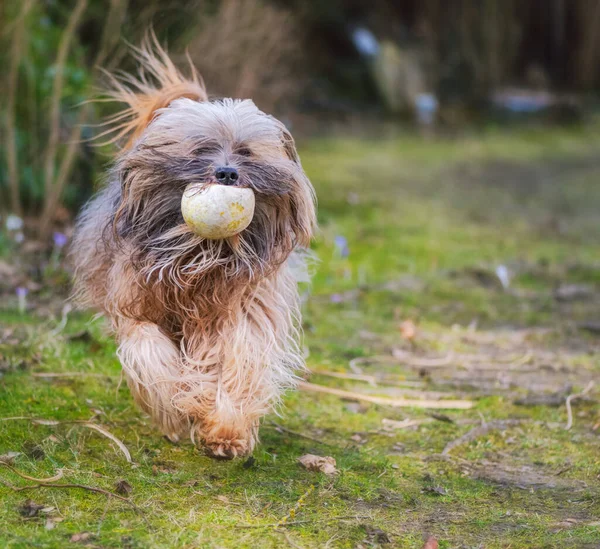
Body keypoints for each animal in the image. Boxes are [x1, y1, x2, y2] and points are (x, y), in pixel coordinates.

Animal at [72, 39, 316, 458]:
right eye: (202, 149)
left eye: (246, 153)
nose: (227, 173)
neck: (202, 254)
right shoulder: (135, 305)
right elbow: (149, 351)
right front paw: (174, 409)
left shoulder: (245, 307)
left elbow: (239, 358)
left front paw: (226, 428)